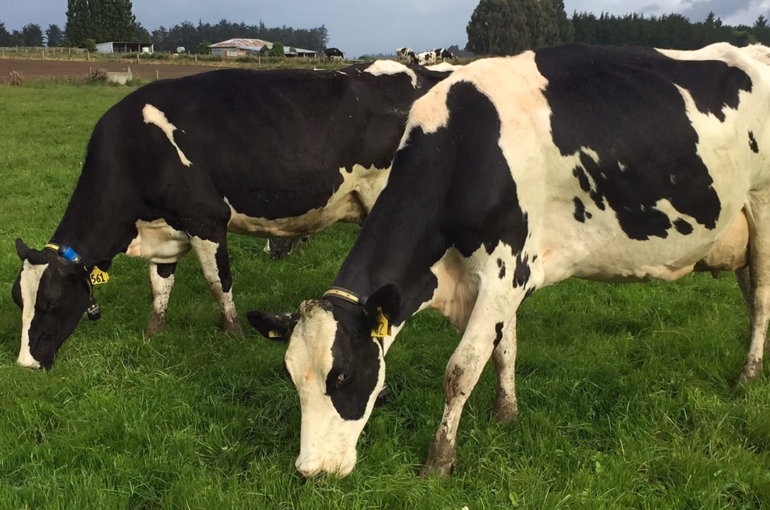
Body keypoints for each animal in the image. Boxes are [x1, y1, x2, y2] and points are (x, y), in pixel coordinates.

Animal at [11, 60, 454, 370]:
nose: (26, 364)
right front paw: (153, 333)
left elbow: (217, 282)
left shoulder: (205, 220)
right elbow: (159, 286)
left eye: (51, 303)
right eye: (19, 300)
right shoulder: (167, 230)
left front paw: (234, 334)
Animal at [247, 42, 770, 478]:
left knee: (762, 301)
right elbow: (504, 349)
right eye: (291, 378)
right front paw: (506, 414)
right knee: (751, 297)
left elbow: (461, 369)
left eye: (344, 376)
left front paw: (439, 461)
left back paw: (746, 376)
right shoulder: (499, 278)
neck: (465, 147)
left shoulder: (504, 270)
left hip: (764, 211)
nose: (310, 471)